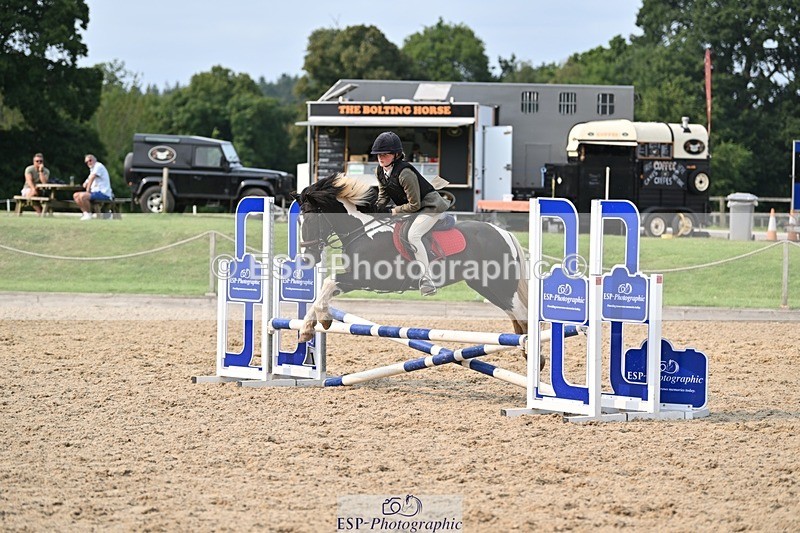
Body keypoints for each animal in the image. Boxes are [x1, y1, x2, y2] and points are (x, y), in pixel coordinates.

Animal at [295, 173, 529, 344]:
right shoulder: (357, 278)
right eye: (298, 222)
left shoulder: (368, 278)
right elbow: (324, 290)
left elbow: (329, 281)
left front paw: (324, 320)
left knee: (522, 315)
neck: (362, 230)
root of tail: (504, 233)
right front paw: (307, 329)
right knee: (515, 317)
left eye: (310, 220)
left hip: (500, 287)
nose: (307, 259)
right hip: (486, 286)